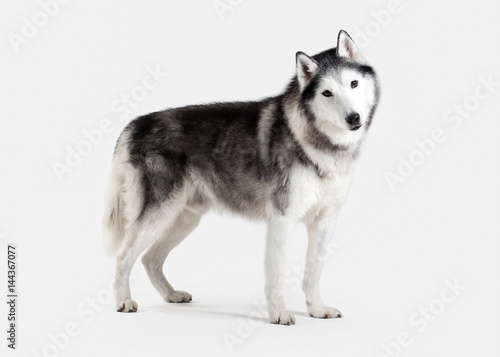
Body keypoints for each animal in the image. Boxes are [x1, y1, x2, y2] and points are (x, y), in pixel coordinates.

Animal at [103, 30, 380, 324]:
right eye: (327, 93)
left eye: (353, 83)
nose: (354, 118)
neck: (316, 142)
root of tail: (134, 124)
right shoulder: (282, 220)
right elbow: (277, 273)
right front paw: (278, 314)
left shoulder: (325, 221)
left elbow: (313, 272)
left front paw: (316, 310)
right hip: (157, 217)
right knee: (123, 258)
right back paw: (123, 301)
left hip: (183, 219)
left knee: (150, 259)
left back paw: (172, 295)